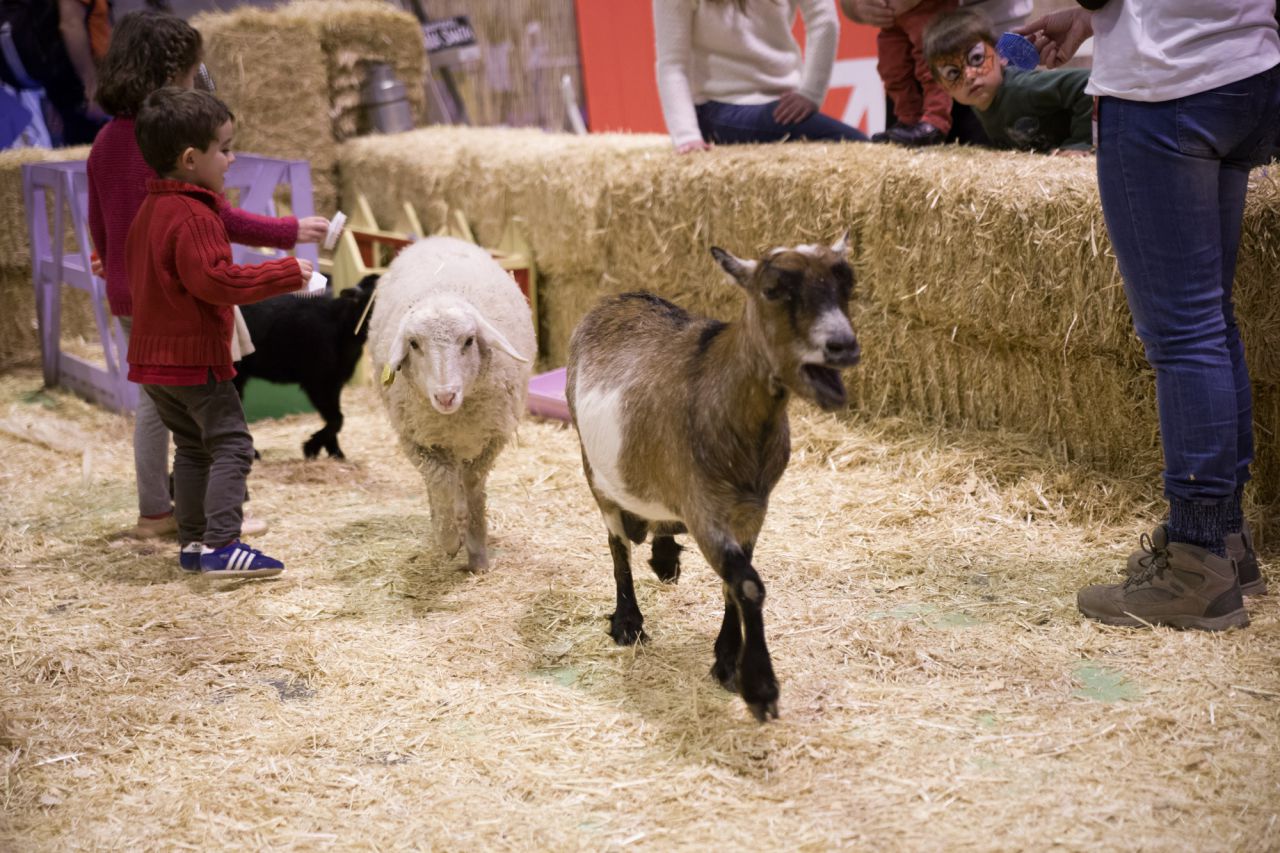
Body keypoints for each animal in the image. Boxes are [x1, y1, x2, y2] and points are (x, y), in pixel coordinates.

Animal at [234, 274, 378, 459]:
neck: (339, 323)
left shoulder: (335, 382)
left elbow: (335, 418)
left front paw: (336, 453)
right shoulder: (318, 382)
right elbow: (337, 419)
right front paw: (311, 447)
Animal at [367, 236, 535, 571]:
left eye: (469, 340)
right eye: (414, 344)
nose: (445, 396)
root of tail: (437, 238)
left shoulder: (491, 439)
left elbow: (473, 486)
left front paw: (476, 548)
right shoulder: (418, 442)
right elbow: (441, 482)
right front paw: (449, 539)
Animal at [566, 236, 860, 721]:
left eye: (847, 285)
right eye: (773, 290)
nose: (843, 346)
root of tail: (621, 296)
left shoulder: (752, 510)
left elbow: (732, 584)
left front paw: (726, 659)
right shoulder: (703, 506)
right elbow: (747, 584)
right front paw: (758, 686)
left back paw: (665, 557)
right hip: (594, 469)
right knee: (616, 544)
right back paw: (628, 620)